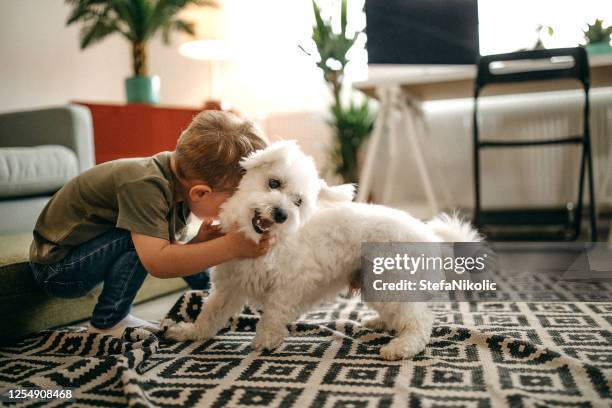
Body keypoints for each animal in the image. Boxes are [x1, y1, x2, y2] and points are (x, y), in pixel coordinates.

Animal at [167, 140, 482, 360]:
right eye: (273, 183)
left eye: (298, 201)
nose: (281, 214)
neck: (260, 242)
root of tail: (430, 236)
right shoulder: (228, 289)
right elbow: (209, 316)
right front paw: (189, 333)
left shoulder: (292, 285)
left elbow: (273, 313)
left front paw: (266, 340)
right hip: (377, 285)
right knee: (402, 315)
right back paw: (379, 323)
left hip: (389, 282)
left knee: (420, 320)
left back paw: (401, 347)